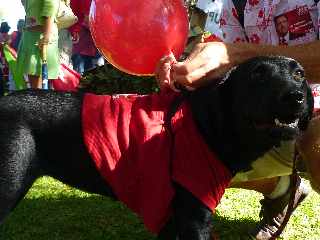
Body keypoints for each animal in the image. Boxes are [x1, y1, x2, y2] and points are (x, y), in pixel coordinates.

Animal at [0, 56, 312, 238]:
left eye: (299, 74)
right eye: (258, 74)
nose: (296, 96)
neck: (207, 122)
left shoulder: (171, 215)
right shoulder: (195, 213)